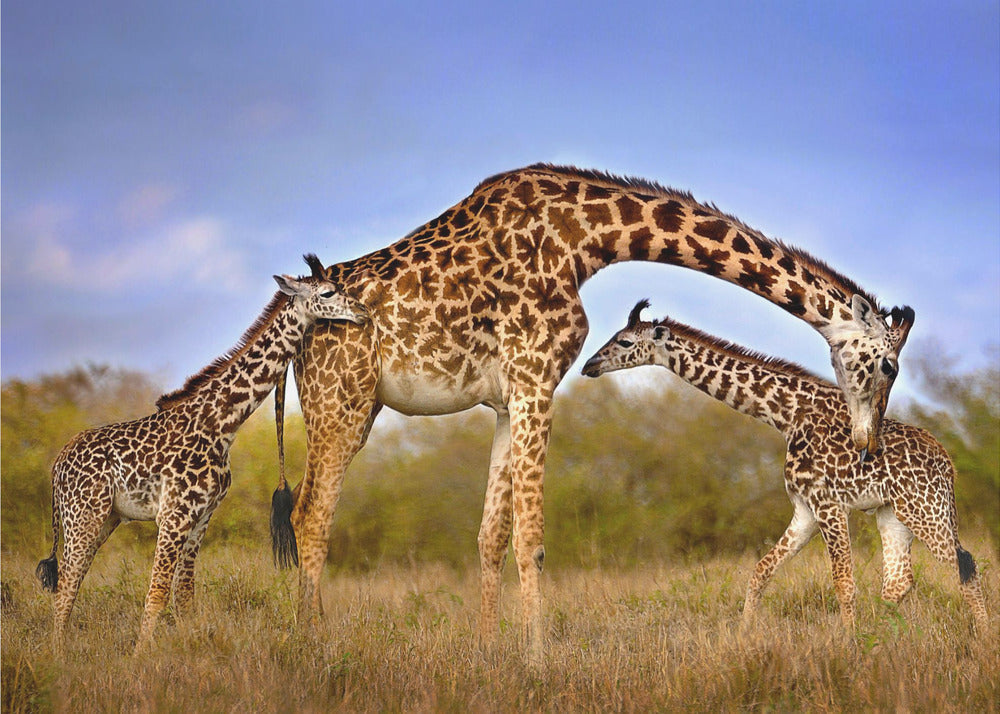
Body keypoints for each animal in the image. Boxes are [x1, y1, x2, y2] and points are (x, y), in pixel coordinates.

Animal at [35, 257, 368, 653]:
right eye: (329, 292)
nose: (363, 312)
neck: (221, 423)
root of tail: (57, 465)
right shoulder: (173, 515)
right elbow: (157, 593)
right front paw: (140, 659)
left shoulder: (202, 516)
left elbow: (185, 596)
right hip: (83, 515)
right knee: (66, 585)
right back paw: (57, 655)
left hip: (104, 519)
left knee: (72, 580)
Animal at [278, 164, 915, 663]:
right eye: (888, 366)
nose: (867, 443)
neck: (587, 236)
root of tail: (292, 325)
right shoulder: (537, 376)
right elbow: (531, 537)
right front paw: (537, 659)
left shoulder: (509, 397)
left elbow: (490, 535)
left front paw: (488, 650)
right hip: (342, 402)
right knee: (312, 516)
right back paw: (314, 647)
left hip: (352, 409)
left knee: (307, 511)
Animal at [582, 300, 987, 631]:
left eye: (624, 342)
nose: (589, 364)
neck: (786, 415)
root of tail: (947, 463)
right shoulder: (804, 510)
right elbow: (761, 571)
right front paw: (744, 636)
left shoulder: (827, 504)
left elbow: (843, 582)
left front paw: (851, 648)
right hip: (894, 514)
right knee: (899, 581)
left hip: (925, 510)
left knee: (963, 564)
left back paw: (981, 641)